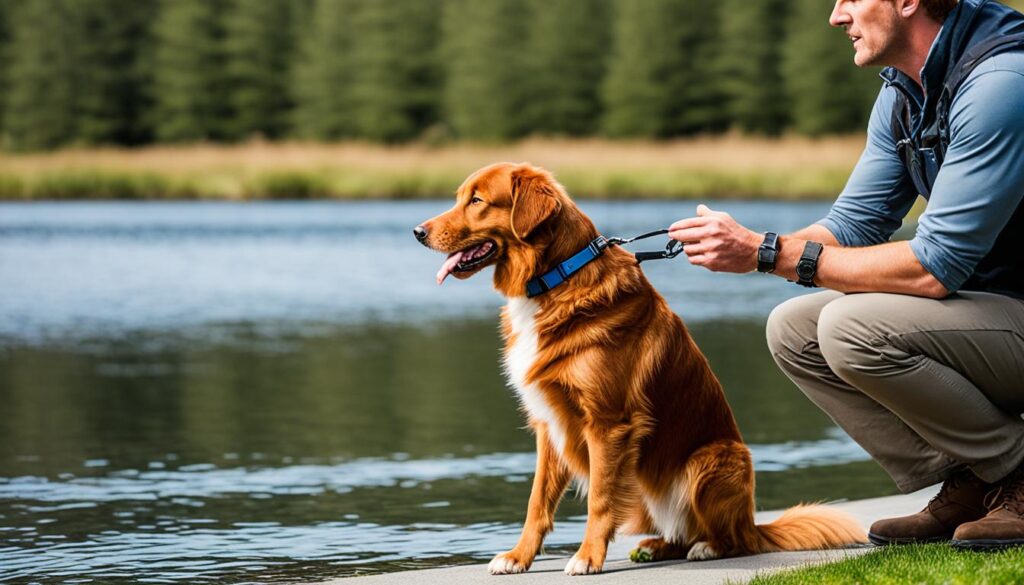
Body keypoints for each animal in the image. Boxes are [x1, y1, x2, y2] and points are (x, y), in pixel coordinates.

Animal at [411, 162, 868, 573]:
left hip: (713, 461)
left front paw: (587, 558)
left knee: (733, 541)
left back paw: (708, 547)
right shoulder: (549, 423)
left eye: (477, 201)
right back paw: (656, 546)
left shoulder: (608, 423)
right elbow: (537, 500)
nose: (418, 232)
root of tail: (753, 523)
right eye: (459, 196)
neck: (556, 280)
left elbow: (599, 500)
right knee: (678, 533)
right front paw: (519, 557)